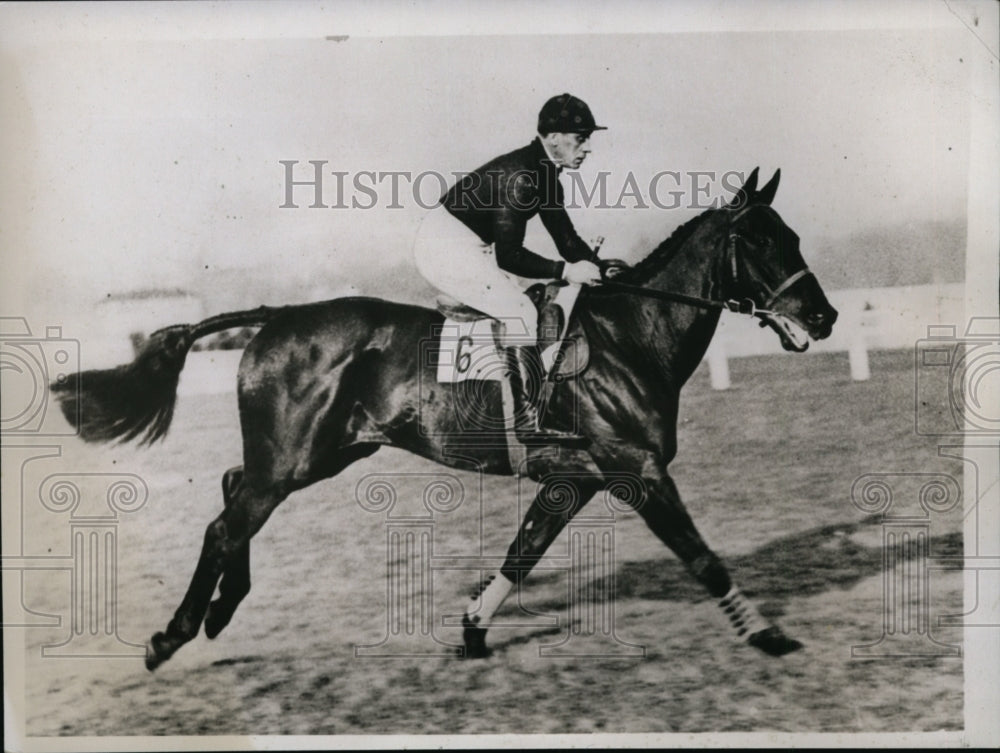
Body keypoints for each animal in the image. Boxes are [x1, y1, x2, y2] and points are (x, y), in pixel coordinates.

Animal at [52, 167, 836, 668]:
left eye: (795, 235)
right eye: (761, 241)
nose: (824, 317)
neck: (631, 336)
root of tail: (277, 316)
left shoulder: (575, 479)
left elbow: (523, 552)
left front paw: (471, 632)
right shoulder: (637, 472)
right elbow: (701, 556)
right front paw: (767, 634)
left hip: (326, 451)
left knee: (230, 486)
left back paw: (221, 610)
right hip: (296, 457)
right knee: (227, 520)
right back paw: (173, 634)